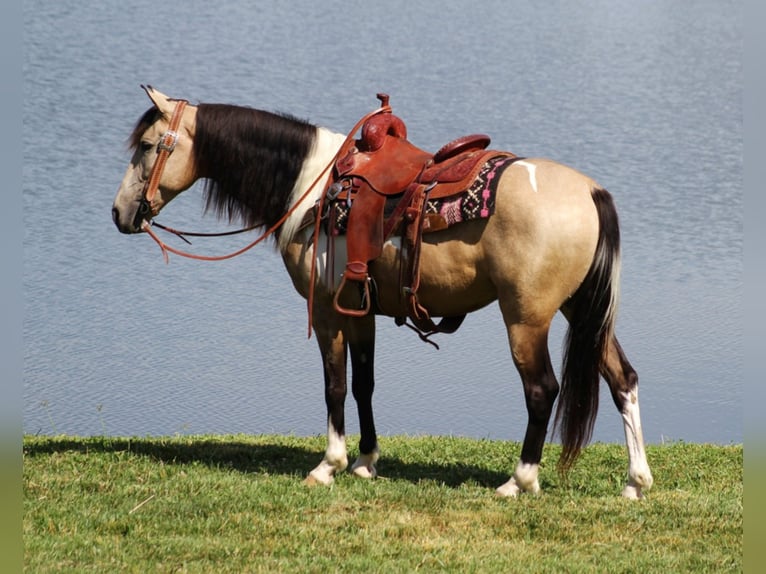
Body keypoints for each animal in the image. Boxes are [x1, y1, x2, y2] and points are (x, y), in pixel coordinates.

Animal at [112, 85, 656, 500]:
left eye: (148, 145)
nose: (120, 213)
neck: (312, 189)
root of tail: (590, 192)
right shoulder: (360, 309)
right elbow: (364, 383)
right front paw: (366, 461)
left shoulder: (327, 311)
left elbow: (334, 385)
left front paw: (328, 465)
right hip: (584, 311)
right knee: (623, 380)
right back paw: (635, 481)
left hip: (527, 316)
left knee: (542, 390)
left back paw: (518, 481)